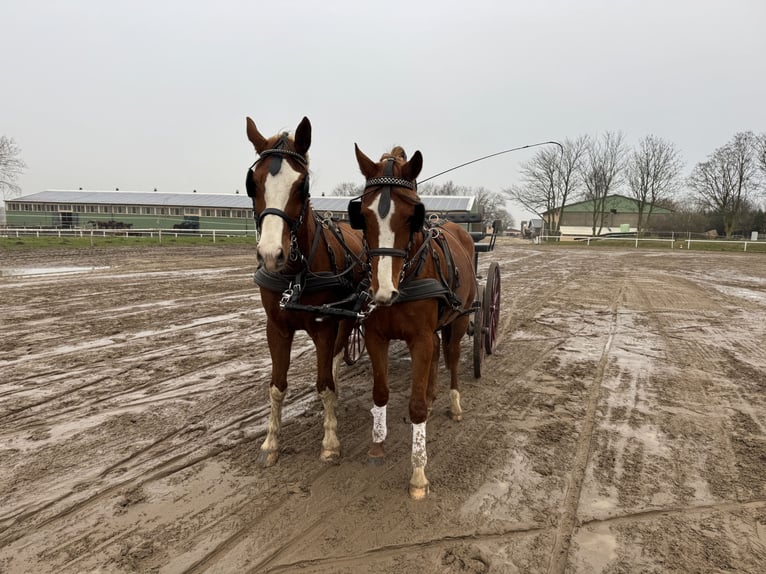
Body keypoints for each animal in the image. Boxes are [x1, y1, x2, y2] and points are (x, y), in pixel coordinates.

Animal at [245, 116, 364, 466]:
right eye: (253, 183)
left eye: (302, 185)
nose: (271, 254)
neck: (294, 277)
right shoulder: (277, 328)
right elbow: (277, 386)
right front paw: (271, 443)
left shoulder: (324, 325)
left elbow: (323, 384)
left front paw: (330, 441)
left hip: (345, 315)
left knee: (336, 355)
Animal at [348, 144, 477, 499]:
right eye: (363, 216)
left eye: (411, 215)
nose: (382, 291)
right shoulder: (376, 335)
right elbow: (380, 392)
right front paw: (377, 446)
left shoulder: (419, 337)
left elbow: (416, 405)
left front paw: (419, 473)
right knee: (436, 352)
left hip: (460, 319)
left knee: (452, 356)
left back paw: (454, 404)